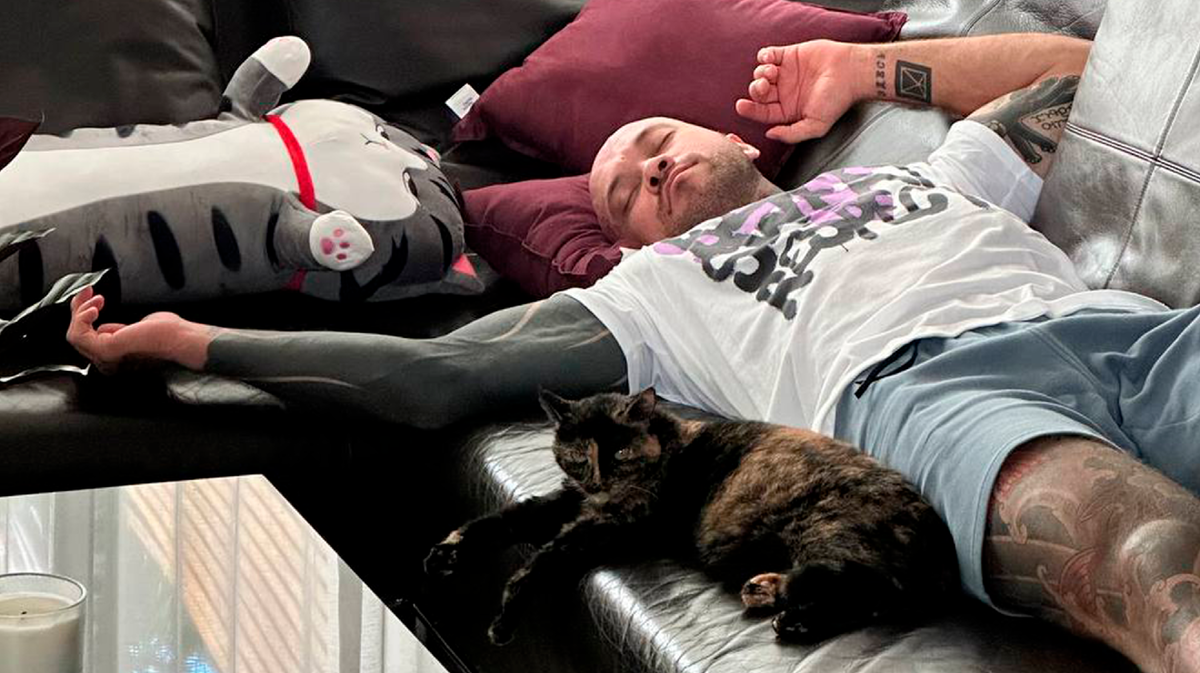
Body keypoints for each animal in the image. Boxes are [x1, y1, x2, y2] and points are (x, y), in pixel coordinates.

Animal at [425, 387, 959, 646]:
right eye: (577, 453)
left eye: (619, 451)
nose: (598, 478)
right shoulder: (570, 501)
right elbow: (504, 519)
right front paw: (447, 551)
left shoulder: (614, 523)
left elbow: (544, 558)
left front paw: (504, 619)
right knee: (872, 597)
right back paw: (777, 601)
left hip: (825, 528)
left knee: (869, 586)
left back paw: (782, 606)